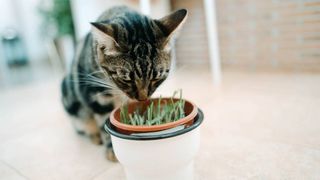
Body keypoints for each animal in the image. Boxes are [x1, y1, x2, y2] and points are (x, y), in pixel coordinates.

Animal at [60, 5, 188, 161]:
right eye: (127, 79)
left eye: (155, 78)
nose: (142, 98)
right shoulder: (95, 93)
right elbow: (105, 122)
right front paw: (111, 148)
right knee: (84, 123)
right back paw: (94, 135)